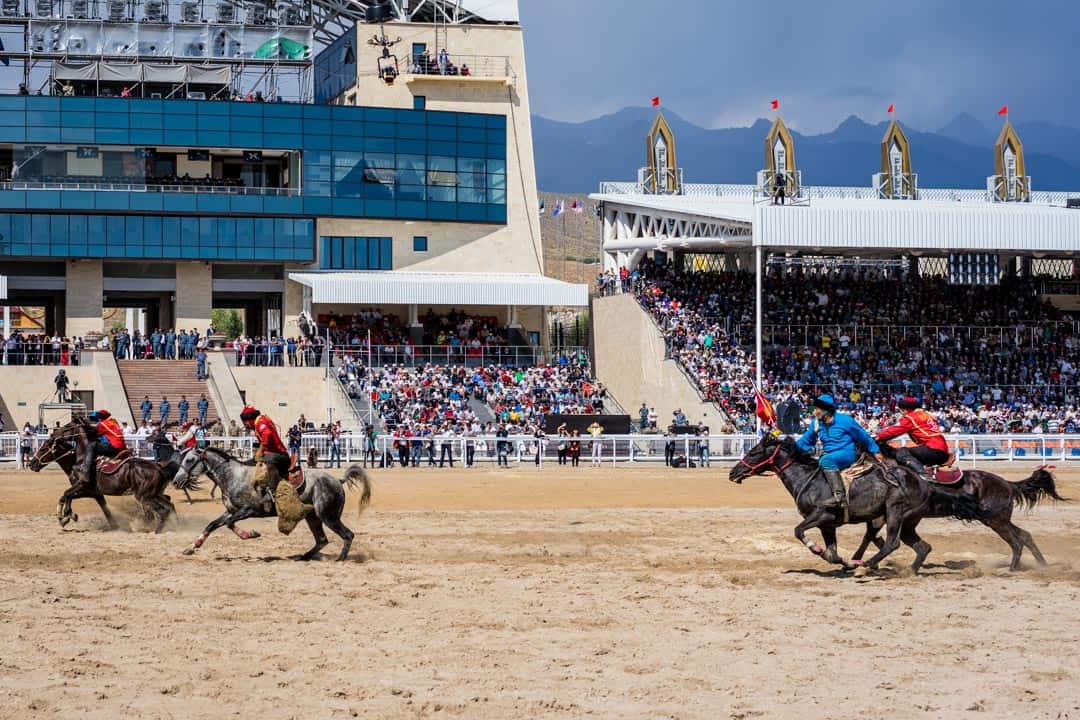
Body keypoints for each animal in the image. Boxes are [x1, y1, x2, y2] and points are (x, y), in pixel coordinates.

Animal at [29, 418, 179, 533]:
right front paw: (67, 516)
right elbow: (102, 508)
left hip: (144, 496)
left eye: (44, 448)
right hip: (154, 494)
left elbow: (67, 494)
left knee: (163, 510)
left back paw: (157, 530)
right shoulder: (94, 493)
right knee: (169, 505)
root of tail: (159, 467)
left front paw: (66, 516)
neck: (80, 460)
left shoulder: (82, 486)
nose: (32, 464)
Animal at [170, 446, 369, 561]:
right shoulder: (231, 510)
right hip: (313, 517)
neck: (233, 475)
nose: (176, 481)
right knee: (322, 540)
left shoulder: (248, 510)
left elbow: (229, 524)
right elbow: (212, 525)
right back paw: (303, 557)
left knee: (348, 535)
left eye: (189, 460)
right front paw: (192, 547)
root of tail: (337, 480)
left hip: (327, 516)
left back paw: (340, 559)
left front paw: (251, 534)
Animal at [855, 451, 1067, 574]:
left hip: (996, 521)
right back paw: (1042, 565)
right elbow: (871, 536)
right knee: (1025, 535)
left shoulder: (885, 516)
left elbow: (871, 535)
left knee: (1016, 541)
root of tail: (1008, 484)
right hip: (1000, 519)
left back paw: (1012, 569)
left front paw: (864, 561)